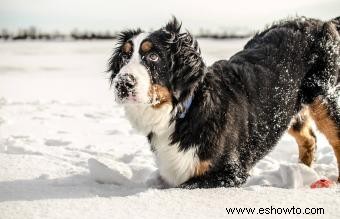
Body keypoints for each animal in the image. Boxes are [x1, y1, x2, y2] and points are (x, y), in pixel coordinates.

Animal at [107, 16, 338, 188]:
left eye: (153, 56)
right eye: (124, 57)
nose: (122, 84)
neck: (182, 113)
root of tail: (320, 22)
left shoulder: (229, 173)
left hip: (324, 97)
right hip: (284, 110)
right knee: (308, 138)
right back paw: (303, 172)